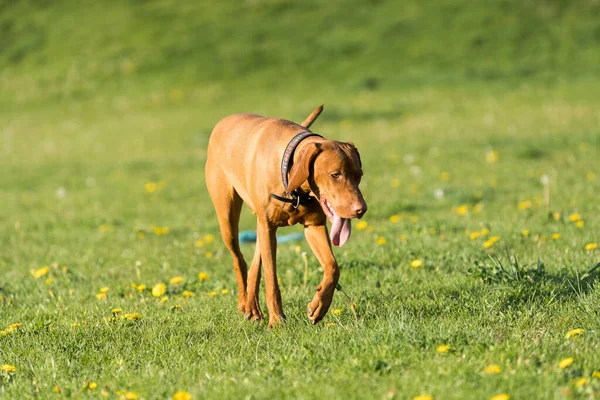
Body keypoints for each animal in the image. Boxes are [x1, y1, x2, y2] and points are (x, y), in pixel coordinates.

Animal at [205, 107, 366, 328]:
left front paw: (319, 306)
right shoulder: (267, 226)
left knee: (256, 260)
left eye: (359, 175)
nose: (361, 210)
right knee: (239, 259)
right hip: (228, 217)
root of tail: (223, 121)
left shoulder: (314, 226)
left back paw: (252, 306)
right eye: (335, 174)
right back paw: (244, 304)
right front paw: (277, 321)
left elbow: (333, 267)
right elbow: (272, 279)